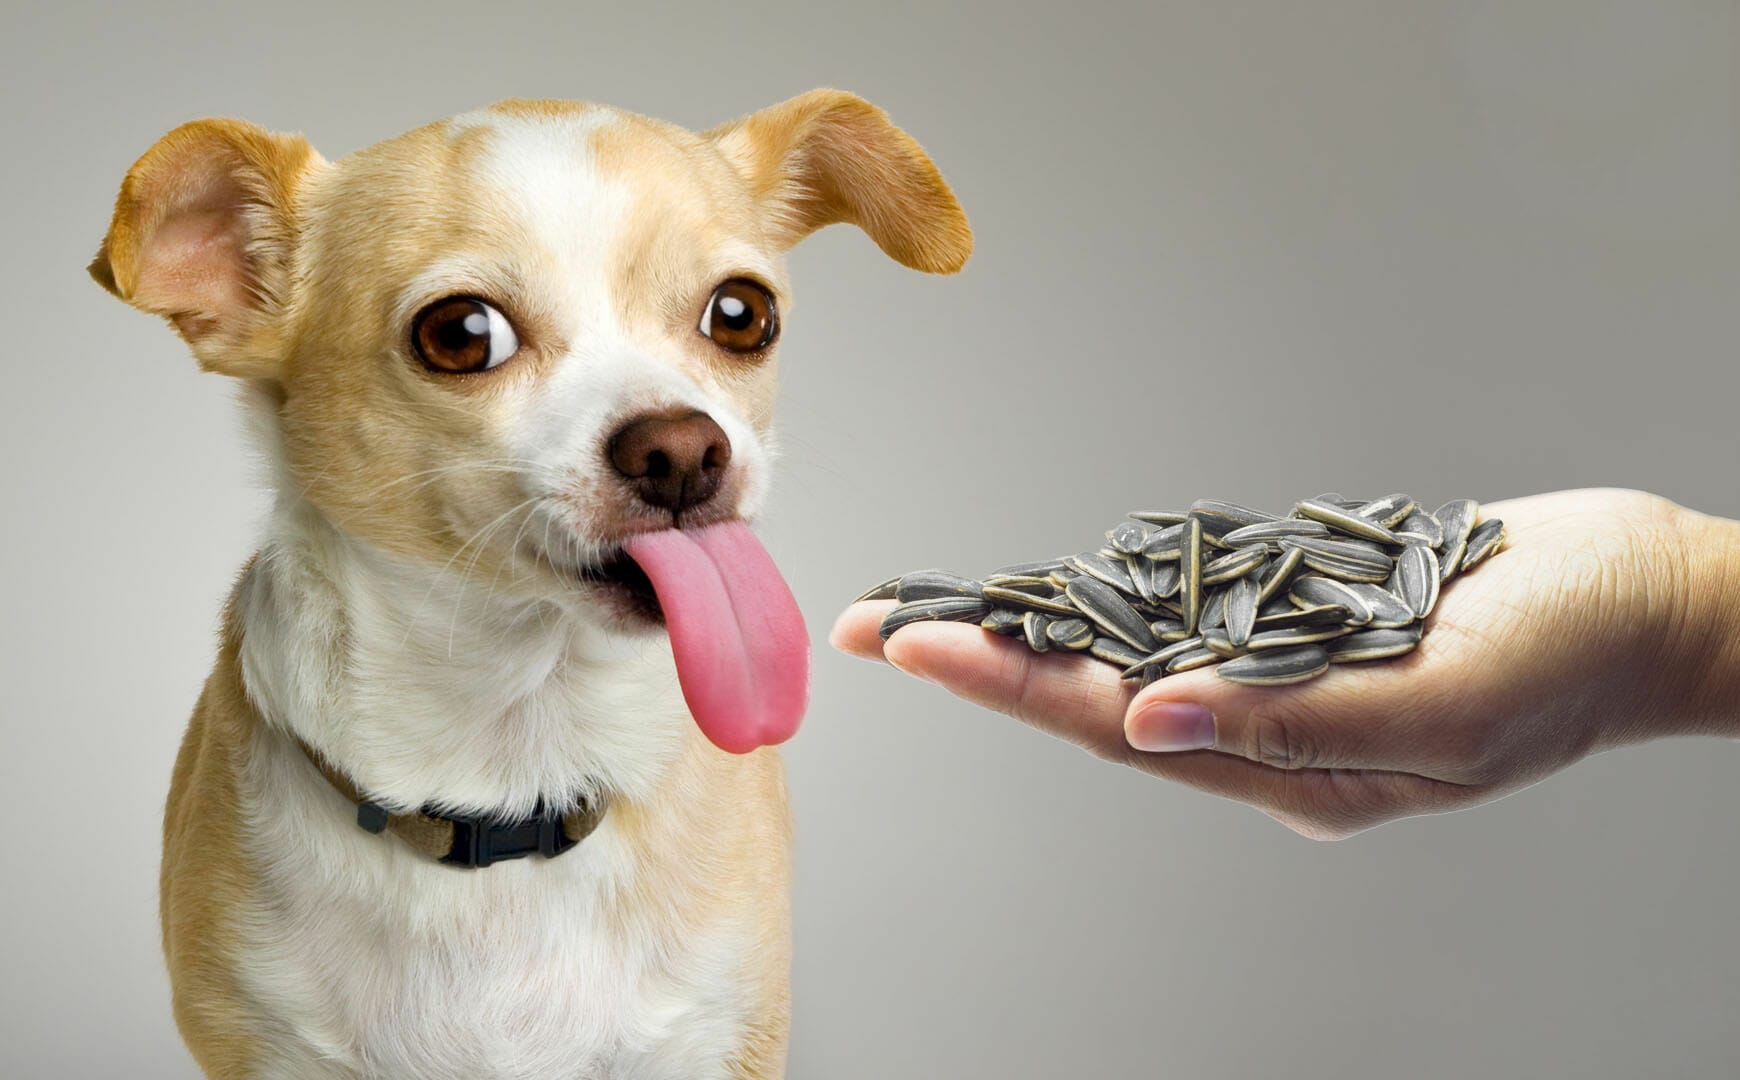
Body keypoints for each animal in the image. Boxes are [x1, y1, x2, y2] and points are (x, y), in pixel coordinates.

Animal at [91, 94, 967, 1078]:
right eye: (461, 335)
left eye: (743, 315)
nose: (682, 449)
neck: (522, 746)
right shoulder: (266, 1044)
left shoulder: (718, 1036)